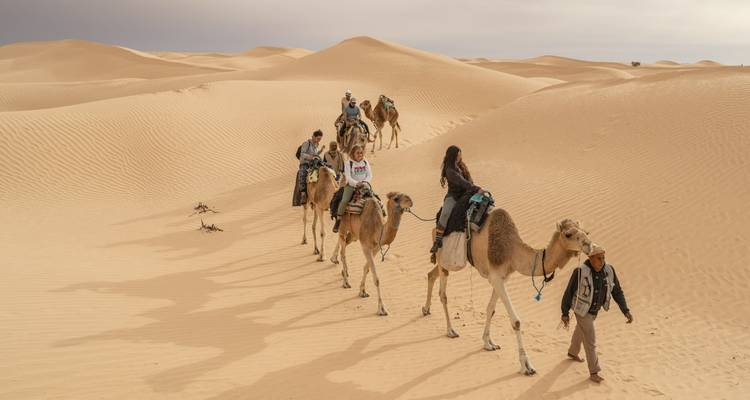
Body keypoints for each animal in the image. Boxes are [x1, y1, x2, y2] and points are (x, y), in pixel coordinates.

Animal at [422, 210, 593, 375]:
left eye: (586, 232)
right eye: (568, 234)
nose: (589, 244)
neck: (512, 251)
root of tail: (435, 227)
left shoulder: (503, 278)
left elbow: (490, 309)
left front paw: (488, 343)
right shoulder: (496, 277)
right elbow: (516, 321)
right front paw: (526, 366)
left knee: (431, 275)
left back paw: (426, 309)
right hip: (445, 257)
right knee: (443, 293)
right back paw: (450, 330)